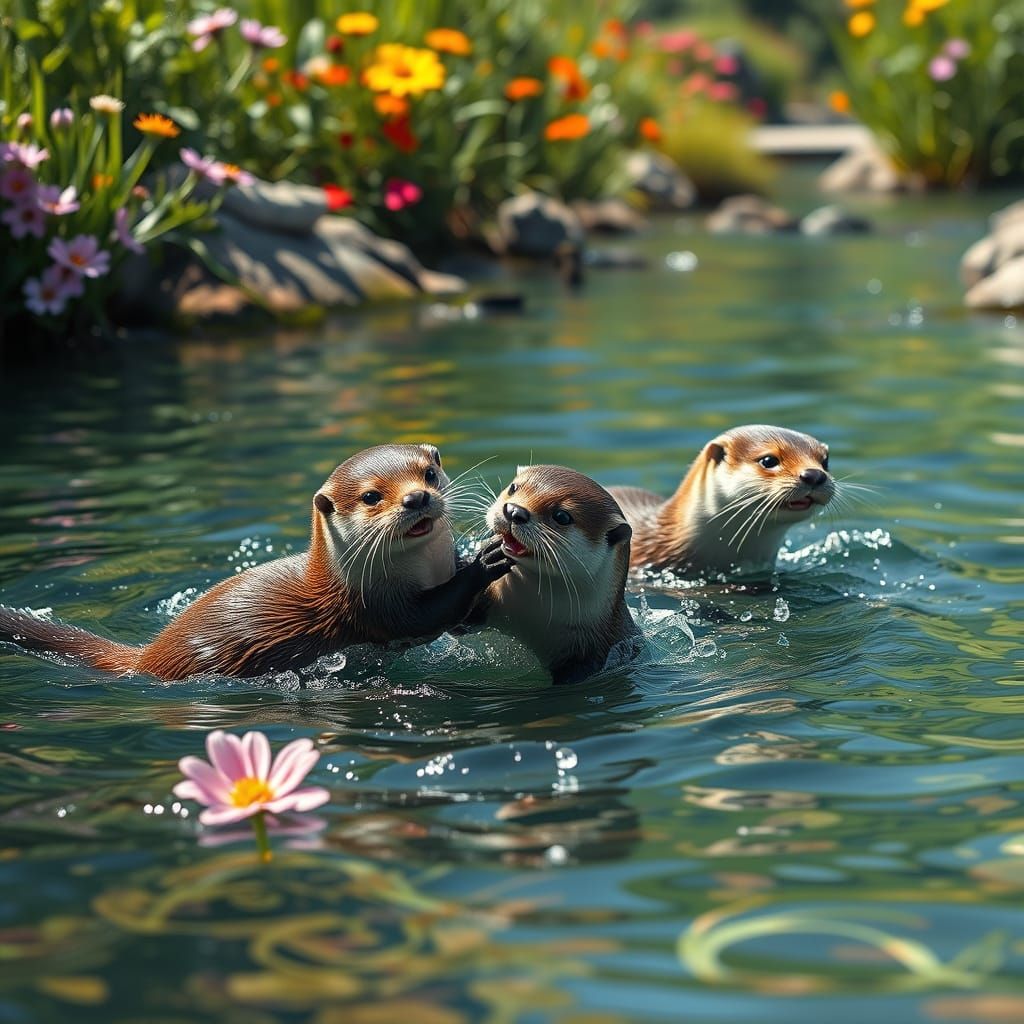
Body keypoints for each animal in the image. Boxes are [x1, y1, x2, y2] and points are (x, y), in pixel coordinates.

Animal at [0, 444, 511, 679]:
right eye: (371, 496)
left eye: (428, 473)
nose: (416, 498)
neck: (424, 571)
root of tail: (147, 655)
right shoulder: (375, 609)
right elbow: (428, 614)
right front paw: (484, 561)